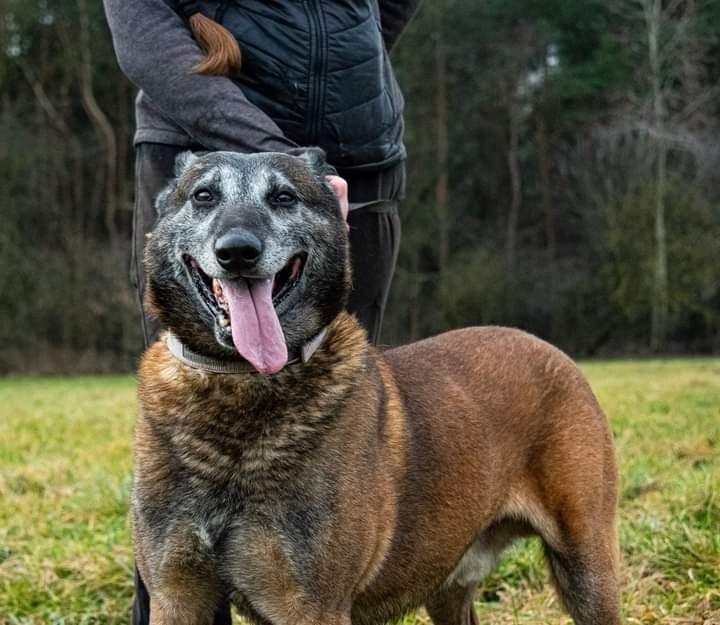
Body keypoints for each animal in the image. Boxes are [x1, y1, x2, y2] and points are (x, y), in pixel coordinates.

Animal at [134, 150, 620, 624]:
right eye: (203, 195)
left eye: (284, 197)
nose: (238, 252)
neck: (240, 384)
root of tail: (546, 347)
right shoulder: (176, 597)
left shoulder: (313, 607)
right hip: (449, 586)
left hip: (587, 567)